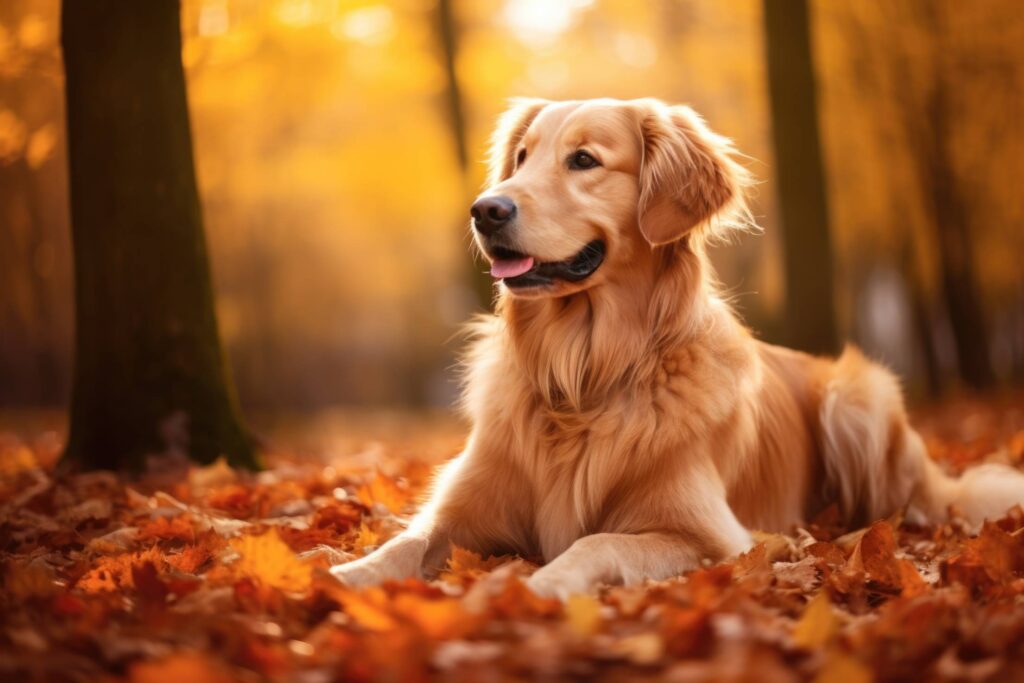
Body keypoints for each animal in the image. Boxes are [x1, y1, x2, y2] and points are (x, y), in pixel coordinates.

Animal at [331, 96, 1019, 598]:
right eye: (521, 158)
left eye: (584, 160)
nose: (484, 210)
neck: (585, 374)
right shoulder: (460, 510)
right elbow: (403, 543)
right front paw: (338, 574)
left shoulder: (713, 536)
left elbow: (597, 541)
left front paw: (537, 582)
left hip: (859, 399)